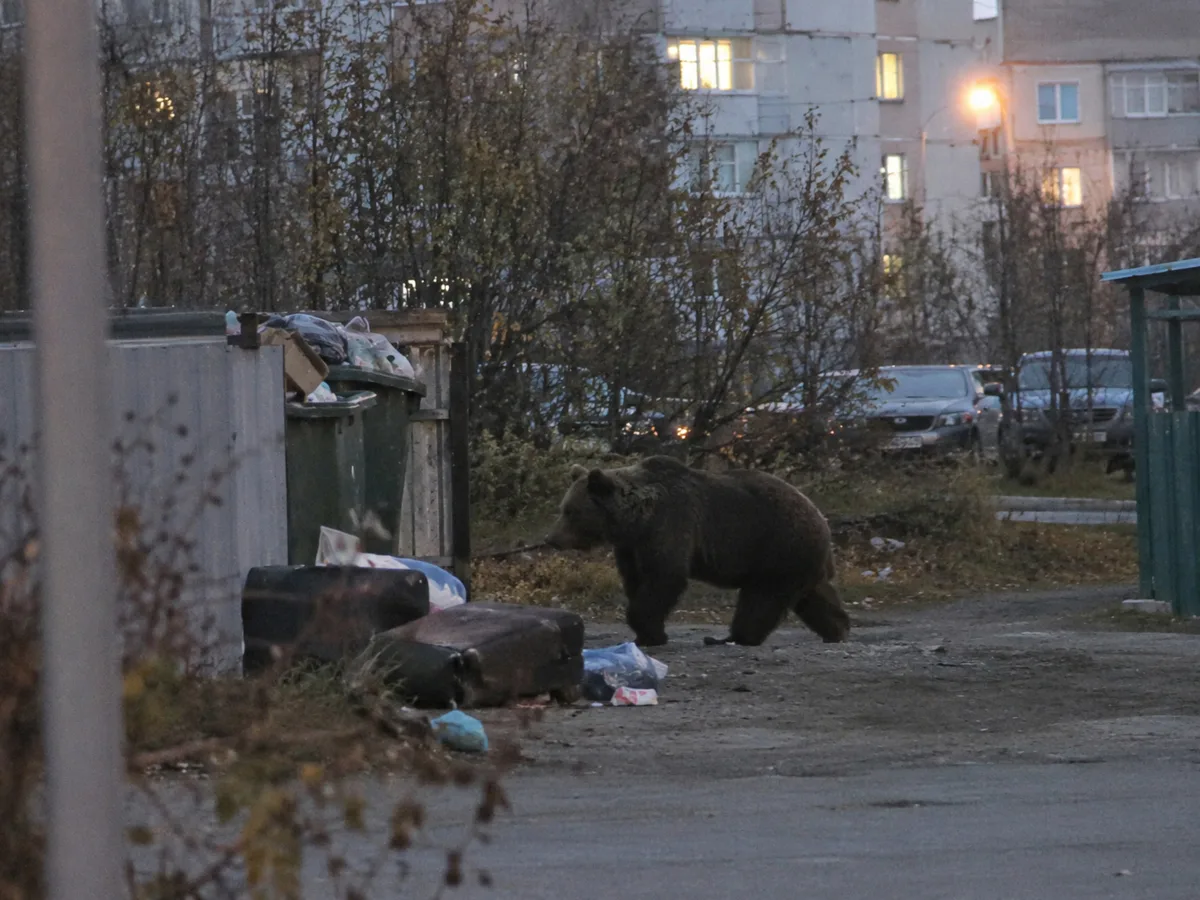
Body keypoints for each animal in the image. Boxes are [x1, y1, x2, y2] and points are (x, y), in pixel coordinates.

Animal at [544, 455, 850, 648]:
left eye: (572, 511)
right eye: (563, 508)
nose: (551, 538)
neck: (636, 520)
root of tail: (822, 520)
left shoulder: (671, 524)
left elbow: (665, 577)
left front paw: (650, 633)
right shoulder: (632, 547)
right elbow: (636, 580)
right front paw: (647, 634)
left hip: (777, 548)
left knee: (761, 600)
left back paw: (733, 637)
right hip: (799, 560)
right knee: (815, 597)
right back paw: (837, 629)